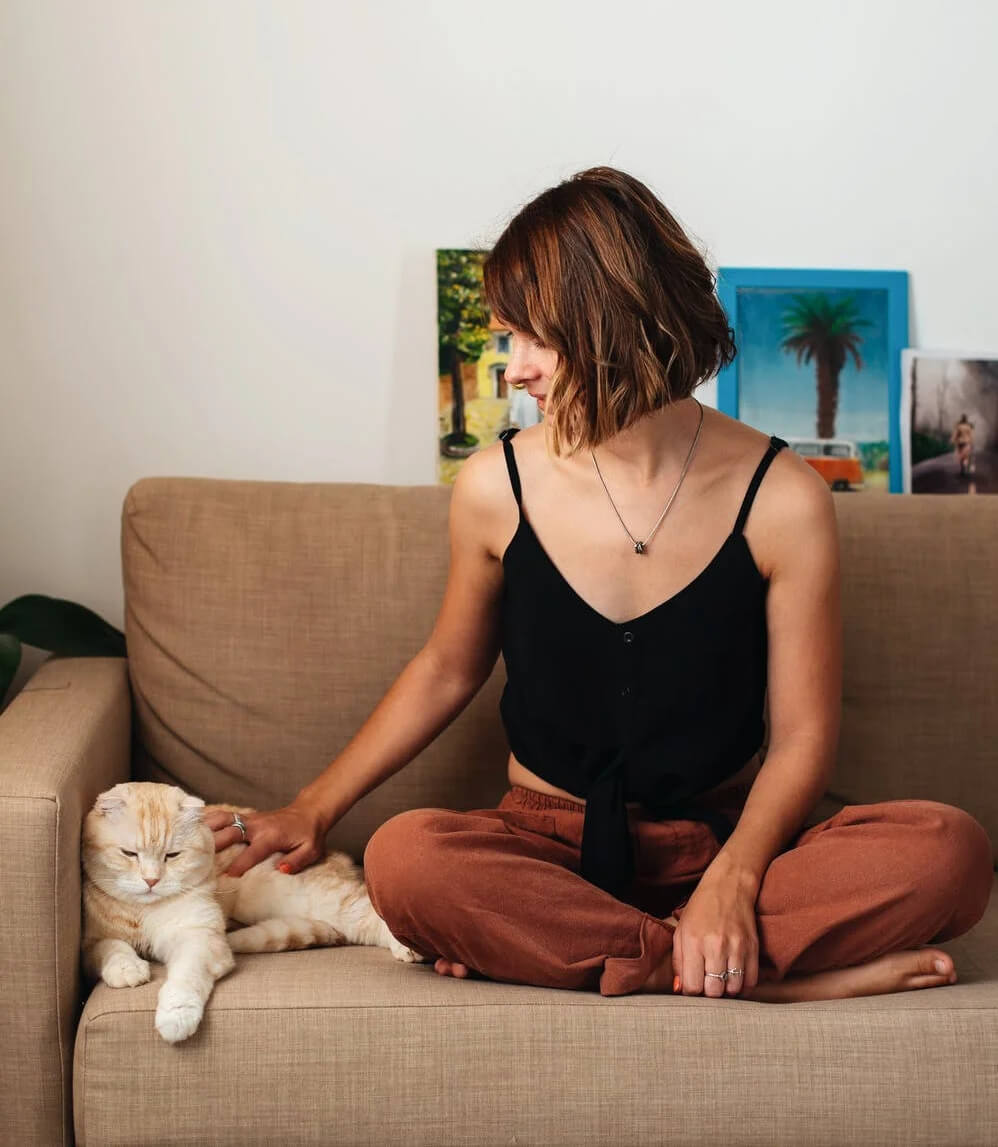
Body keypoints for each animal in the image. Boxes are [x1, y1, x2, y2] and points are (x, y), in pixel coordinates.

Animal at [83, 779, 429, 1041]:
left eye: (173, 855)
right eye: (129, 853)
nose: (151, 880)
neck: (142, 911)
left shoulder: (199, 938)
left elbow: (186, 978)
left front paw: (175, 1017)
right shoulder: (90, 944)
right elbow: (110, 947)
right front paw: (127, 968)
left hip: (310, 898)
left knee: (367, 911)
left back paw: (409, 946)